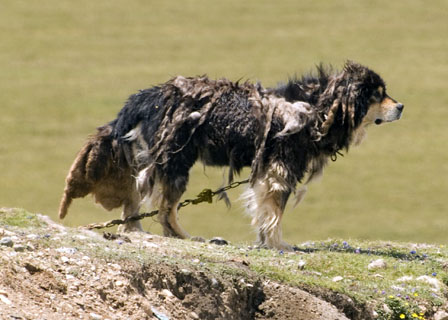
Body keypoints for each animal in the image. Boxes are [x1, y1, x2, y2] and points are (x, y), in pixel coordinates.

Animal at [58, 60, 402, 250]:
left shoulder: (268, 170)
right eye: (377, 95)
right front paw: (278, 244)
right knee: (166, 209)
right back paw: (183, 236)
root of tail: (143, 97)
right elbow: (275, 211)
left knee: (139, 202)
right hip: (175, 159)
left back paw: (140, 230)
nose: (401, 106)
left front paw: (266, 241)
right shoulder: (280, 168)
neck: (319, 107)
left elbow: (264, 209)